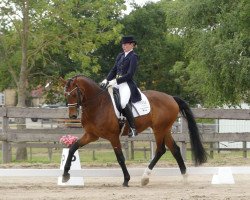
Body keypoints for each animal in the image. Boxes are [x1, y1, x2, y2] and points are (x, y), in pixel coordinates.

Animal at [60, 74, 207, 186]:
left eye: (74, 94)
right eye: (65, 95)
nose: (72, 116)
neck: (98, 105)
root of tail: (171, 98)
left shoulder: (113, 136)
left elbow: (120, 158)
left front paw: (126, 180)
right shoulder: (91, 135)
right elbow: (73, 148)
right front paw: (65, 175)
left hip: (159, 129)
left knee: (161, 150)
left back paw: (145, 178)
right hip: (165, 129)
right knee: (175, 149)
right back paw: (185, 177)